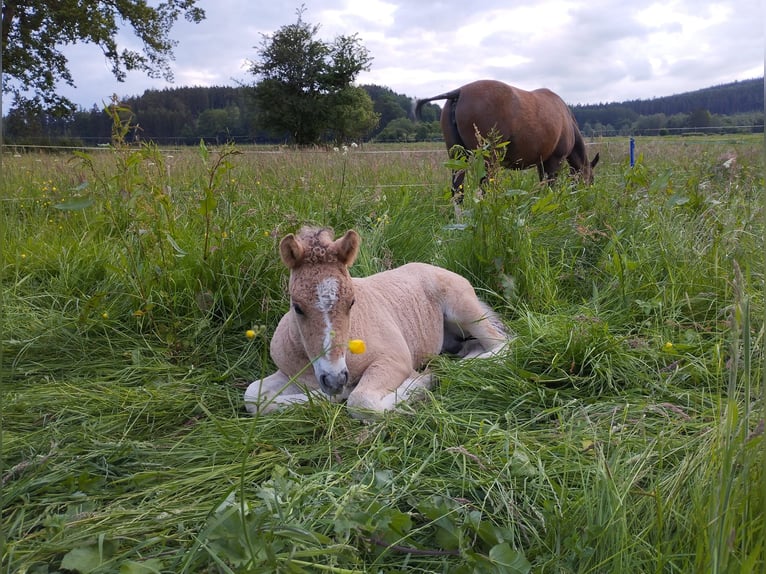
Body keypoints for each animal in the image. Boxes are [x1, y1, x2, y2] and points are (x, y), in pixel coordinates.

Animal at [244, 227, 510, 420]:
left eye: (352, 302)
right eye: (297, 307)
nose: (335, 379)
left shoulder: (394, 360)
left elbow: (362, 402)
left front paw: (422, 380)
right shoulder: (291, 374)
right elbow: (253, 396)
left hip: (463, 310)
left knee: (502, 344)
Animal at [420, 79, 600, 197]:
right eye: (591, 179)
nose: (587, 196)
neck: (567, 120)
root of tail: (459, 92)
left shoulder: (542, 163)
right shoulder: (555, 160)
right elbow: (550, 187)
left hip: (457, 157)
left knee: (457, 192)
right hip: (488, 160)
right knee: (485, 190)